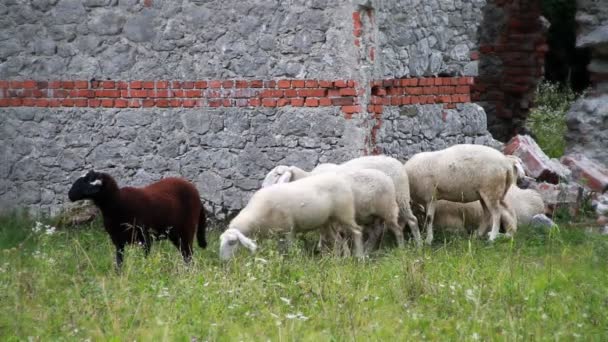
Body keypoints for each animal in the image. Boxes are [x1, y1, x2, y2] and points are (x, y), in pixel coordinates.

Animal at [67, 171, 207, 268]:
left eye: (86, 181)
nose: (70, 195)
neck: (117, 202)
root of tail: (196, 192)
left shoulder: (144, 237)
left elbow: (145, 257)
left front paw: (143, 269)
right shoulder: (118, 240)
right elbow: (119, 261)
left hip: (187, 228)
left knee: (188, 253)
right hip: (174, 234)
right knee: (185, 253)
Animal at [220, 172, 364, 260]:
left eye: (232, 242)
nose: (223, 261)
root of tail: (341, 179)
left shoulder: (288, 230)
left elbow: (289, 249)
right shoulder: (277, 233)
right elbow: (281, 250)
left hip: (345, 213)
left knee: (356, 231)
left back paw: (359, 256)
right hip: (328, 220)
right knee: (338, 240)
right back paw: (339, 259)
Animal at [262, 155, 422, 246]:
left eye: (276, 176)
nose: (262, 190)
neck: (305, 178)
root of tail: (398, 163)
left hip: (399, 198)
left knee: (412, 220)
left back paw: (419, 246)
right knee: (377, 230)